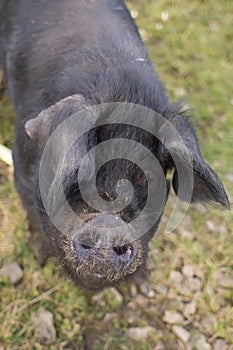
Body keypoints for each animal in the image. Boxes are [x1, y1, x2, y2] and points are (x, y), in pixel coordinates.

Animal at [0, 0, 229, 290]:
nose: (108, 225)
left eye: (147, 177)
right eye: (82, 169)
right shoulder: (20, 165)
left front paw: (142, 288)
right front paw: (39, 256)